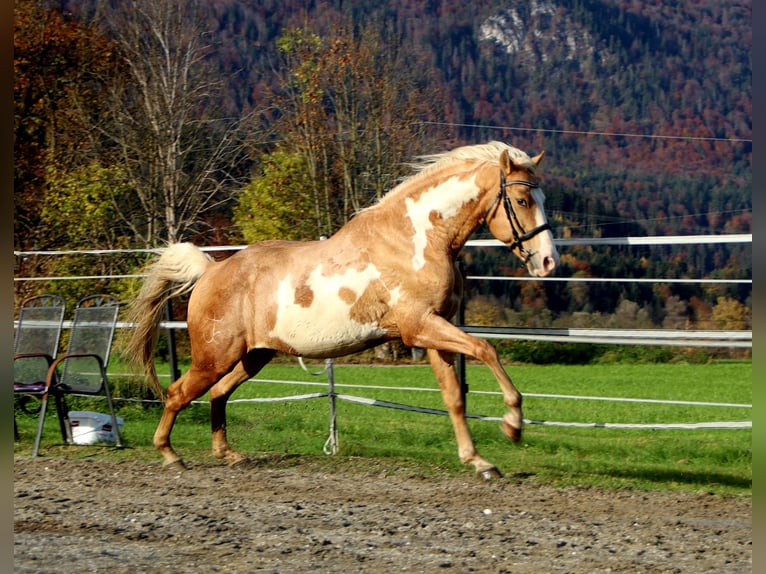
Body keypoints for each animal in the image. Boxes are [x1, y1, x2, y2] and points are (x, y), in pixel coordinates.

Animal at [125, 141, 559, 479]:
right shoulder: (419, 326)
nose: (548, 262)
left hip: (254, 356)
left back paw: (229, 454)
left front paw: (479, 461)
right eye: (521, 200)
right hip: (216, 355)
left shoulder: (433, 330)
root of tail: (211, 271)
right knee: (178, 392)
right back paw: (170, 454)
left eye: (542, 199)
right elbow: (487, 349)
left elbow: (454, 396)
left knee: (218, 392)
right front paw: (513, 426)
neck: (417, 240)